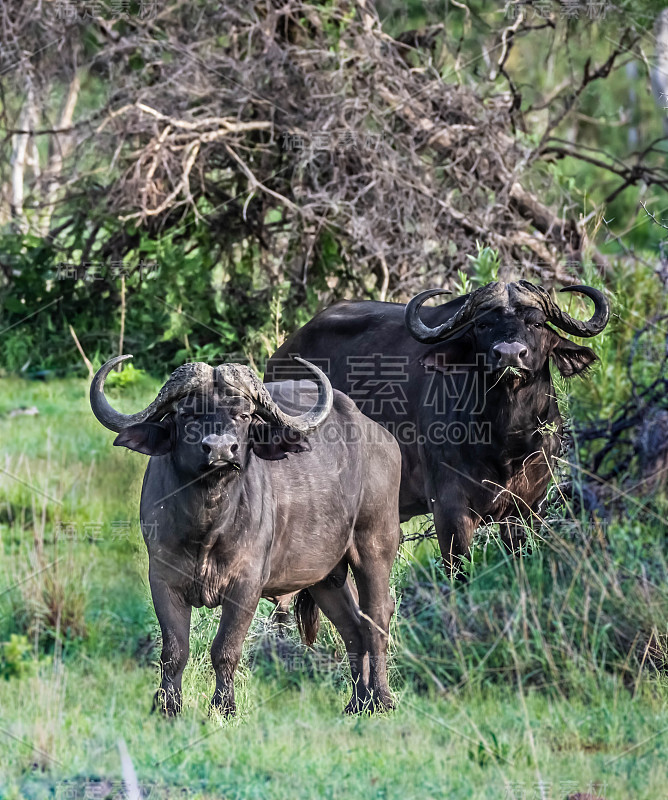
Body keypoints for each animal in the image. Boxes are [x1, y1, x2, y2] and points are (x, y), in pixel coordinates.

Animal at [90, 354, 400, 712]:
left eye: (244, 414)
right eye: (187, 414)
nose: (221, 450)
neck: (207, 527)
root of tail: (384, 439)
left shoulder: (246, 585)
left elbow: (225, 648)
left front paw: (224, 706)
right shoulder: (164, 579)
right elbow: (174, 650)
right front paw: (168, 706)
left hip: (374, 546)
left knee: (377, 618)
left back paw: (382, 699)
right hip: (326, 576)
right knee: (352, 626)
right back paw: (358, 703)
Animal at [264, 282, 608, 568]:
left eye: (536, 323)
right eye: (483, 324)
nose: (510, 355)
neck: (505, 440)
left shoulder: (529, 506)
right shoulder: (449, 508)